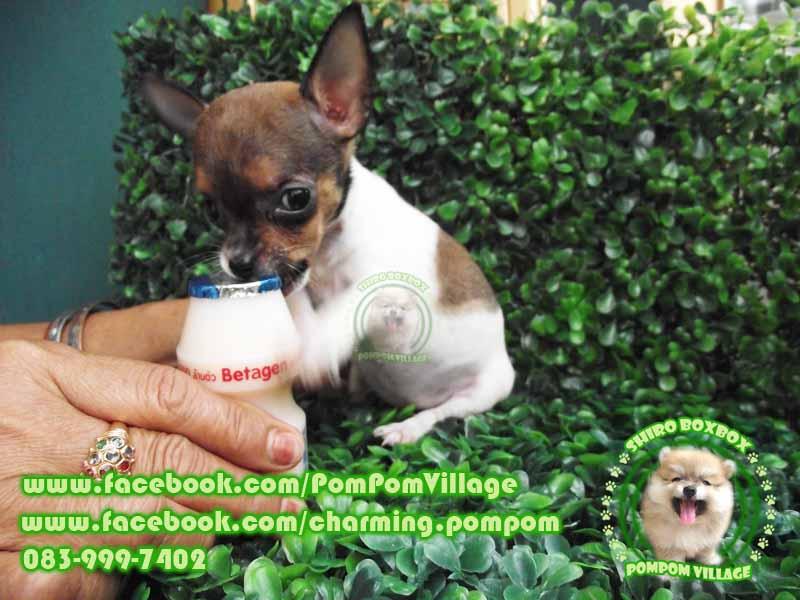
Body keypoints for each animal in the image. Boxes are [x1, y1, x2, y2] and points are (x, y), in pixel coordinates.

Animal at [140, 2, 515, 445]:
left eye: (295, 199)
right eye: (212, 209)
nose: (238, 263)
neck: (331, 252)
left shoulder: (392, 296)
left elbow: (348, 310)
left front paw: (312, 355)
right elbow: (302, 302)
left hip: (487, 388)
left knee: (443, 412)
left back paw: (406, 427)